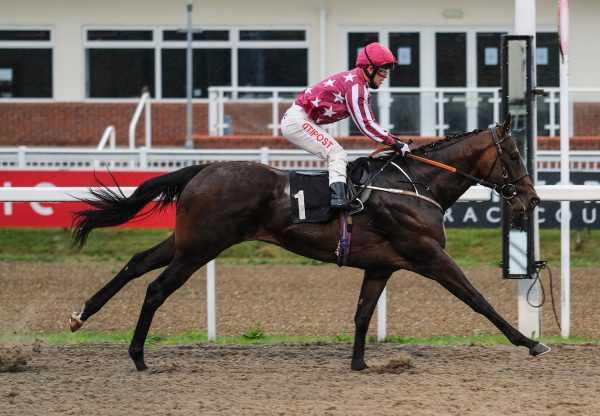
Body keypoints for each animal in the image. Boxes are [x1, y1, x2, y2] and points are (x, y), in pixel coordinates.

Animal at [69, 114, 548, 370]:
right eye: (514, 154)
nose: (532, 198)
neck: (415, 185)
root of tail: (202, 169)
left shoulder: (381, 266)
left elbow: (362, 314)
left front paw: (359, 363)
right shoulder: (430, 255)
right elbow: (478, 300)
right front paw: (530, 343)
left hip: (187, 241)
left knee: (136, 262)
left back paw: (81, 314)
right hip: (201, 248)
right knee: (155, 288)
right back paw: (137, 355)